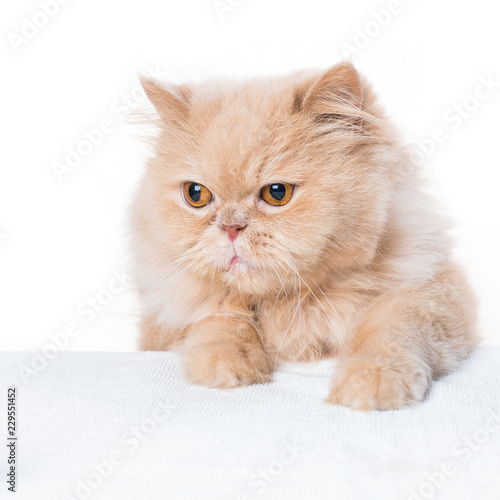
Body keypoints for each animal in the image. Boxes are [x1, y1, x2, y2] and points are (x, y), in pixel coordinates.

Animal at [131, 61, 478, 410]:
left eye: (277, 193)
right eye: (196, 195)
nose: (231, 227)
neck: (291, 303)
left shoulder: (433, 292)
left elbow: (391, 328)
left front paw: (372, 381)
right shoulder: (164, 317)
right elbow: (218, 316)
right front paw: (227, 364)